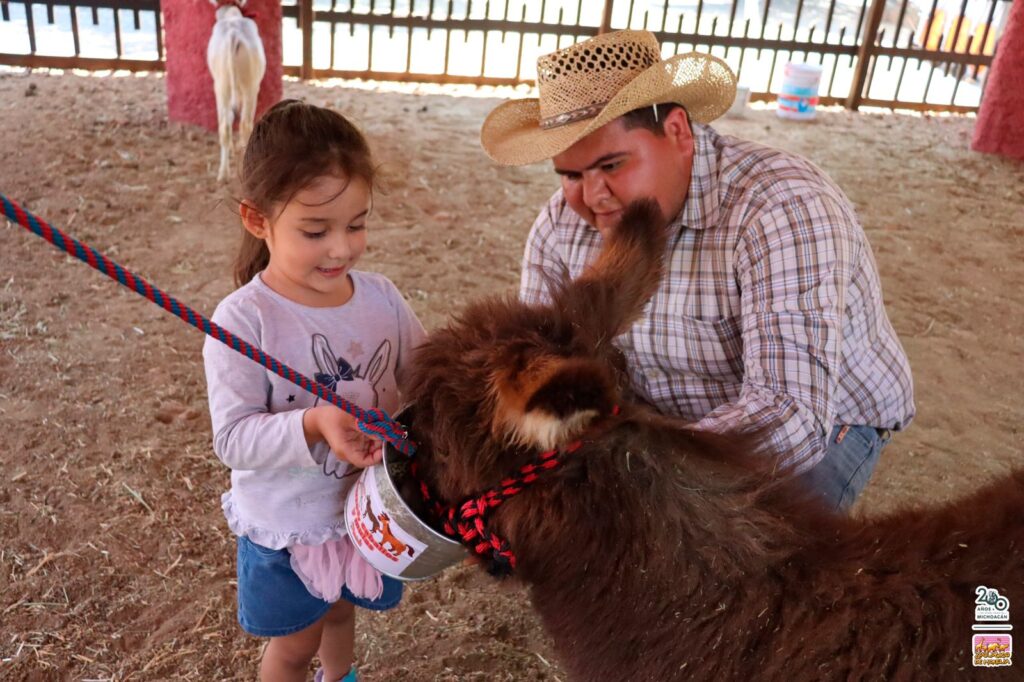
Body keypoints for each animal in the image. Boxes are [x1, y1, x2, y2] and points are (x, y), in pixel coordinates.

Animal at [204, 0, 264, 180]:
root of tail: (233, 35)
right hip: (250, 87)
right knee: (244, 125)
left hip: (222, 85)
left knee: (226, 125)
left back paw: (223, 173)